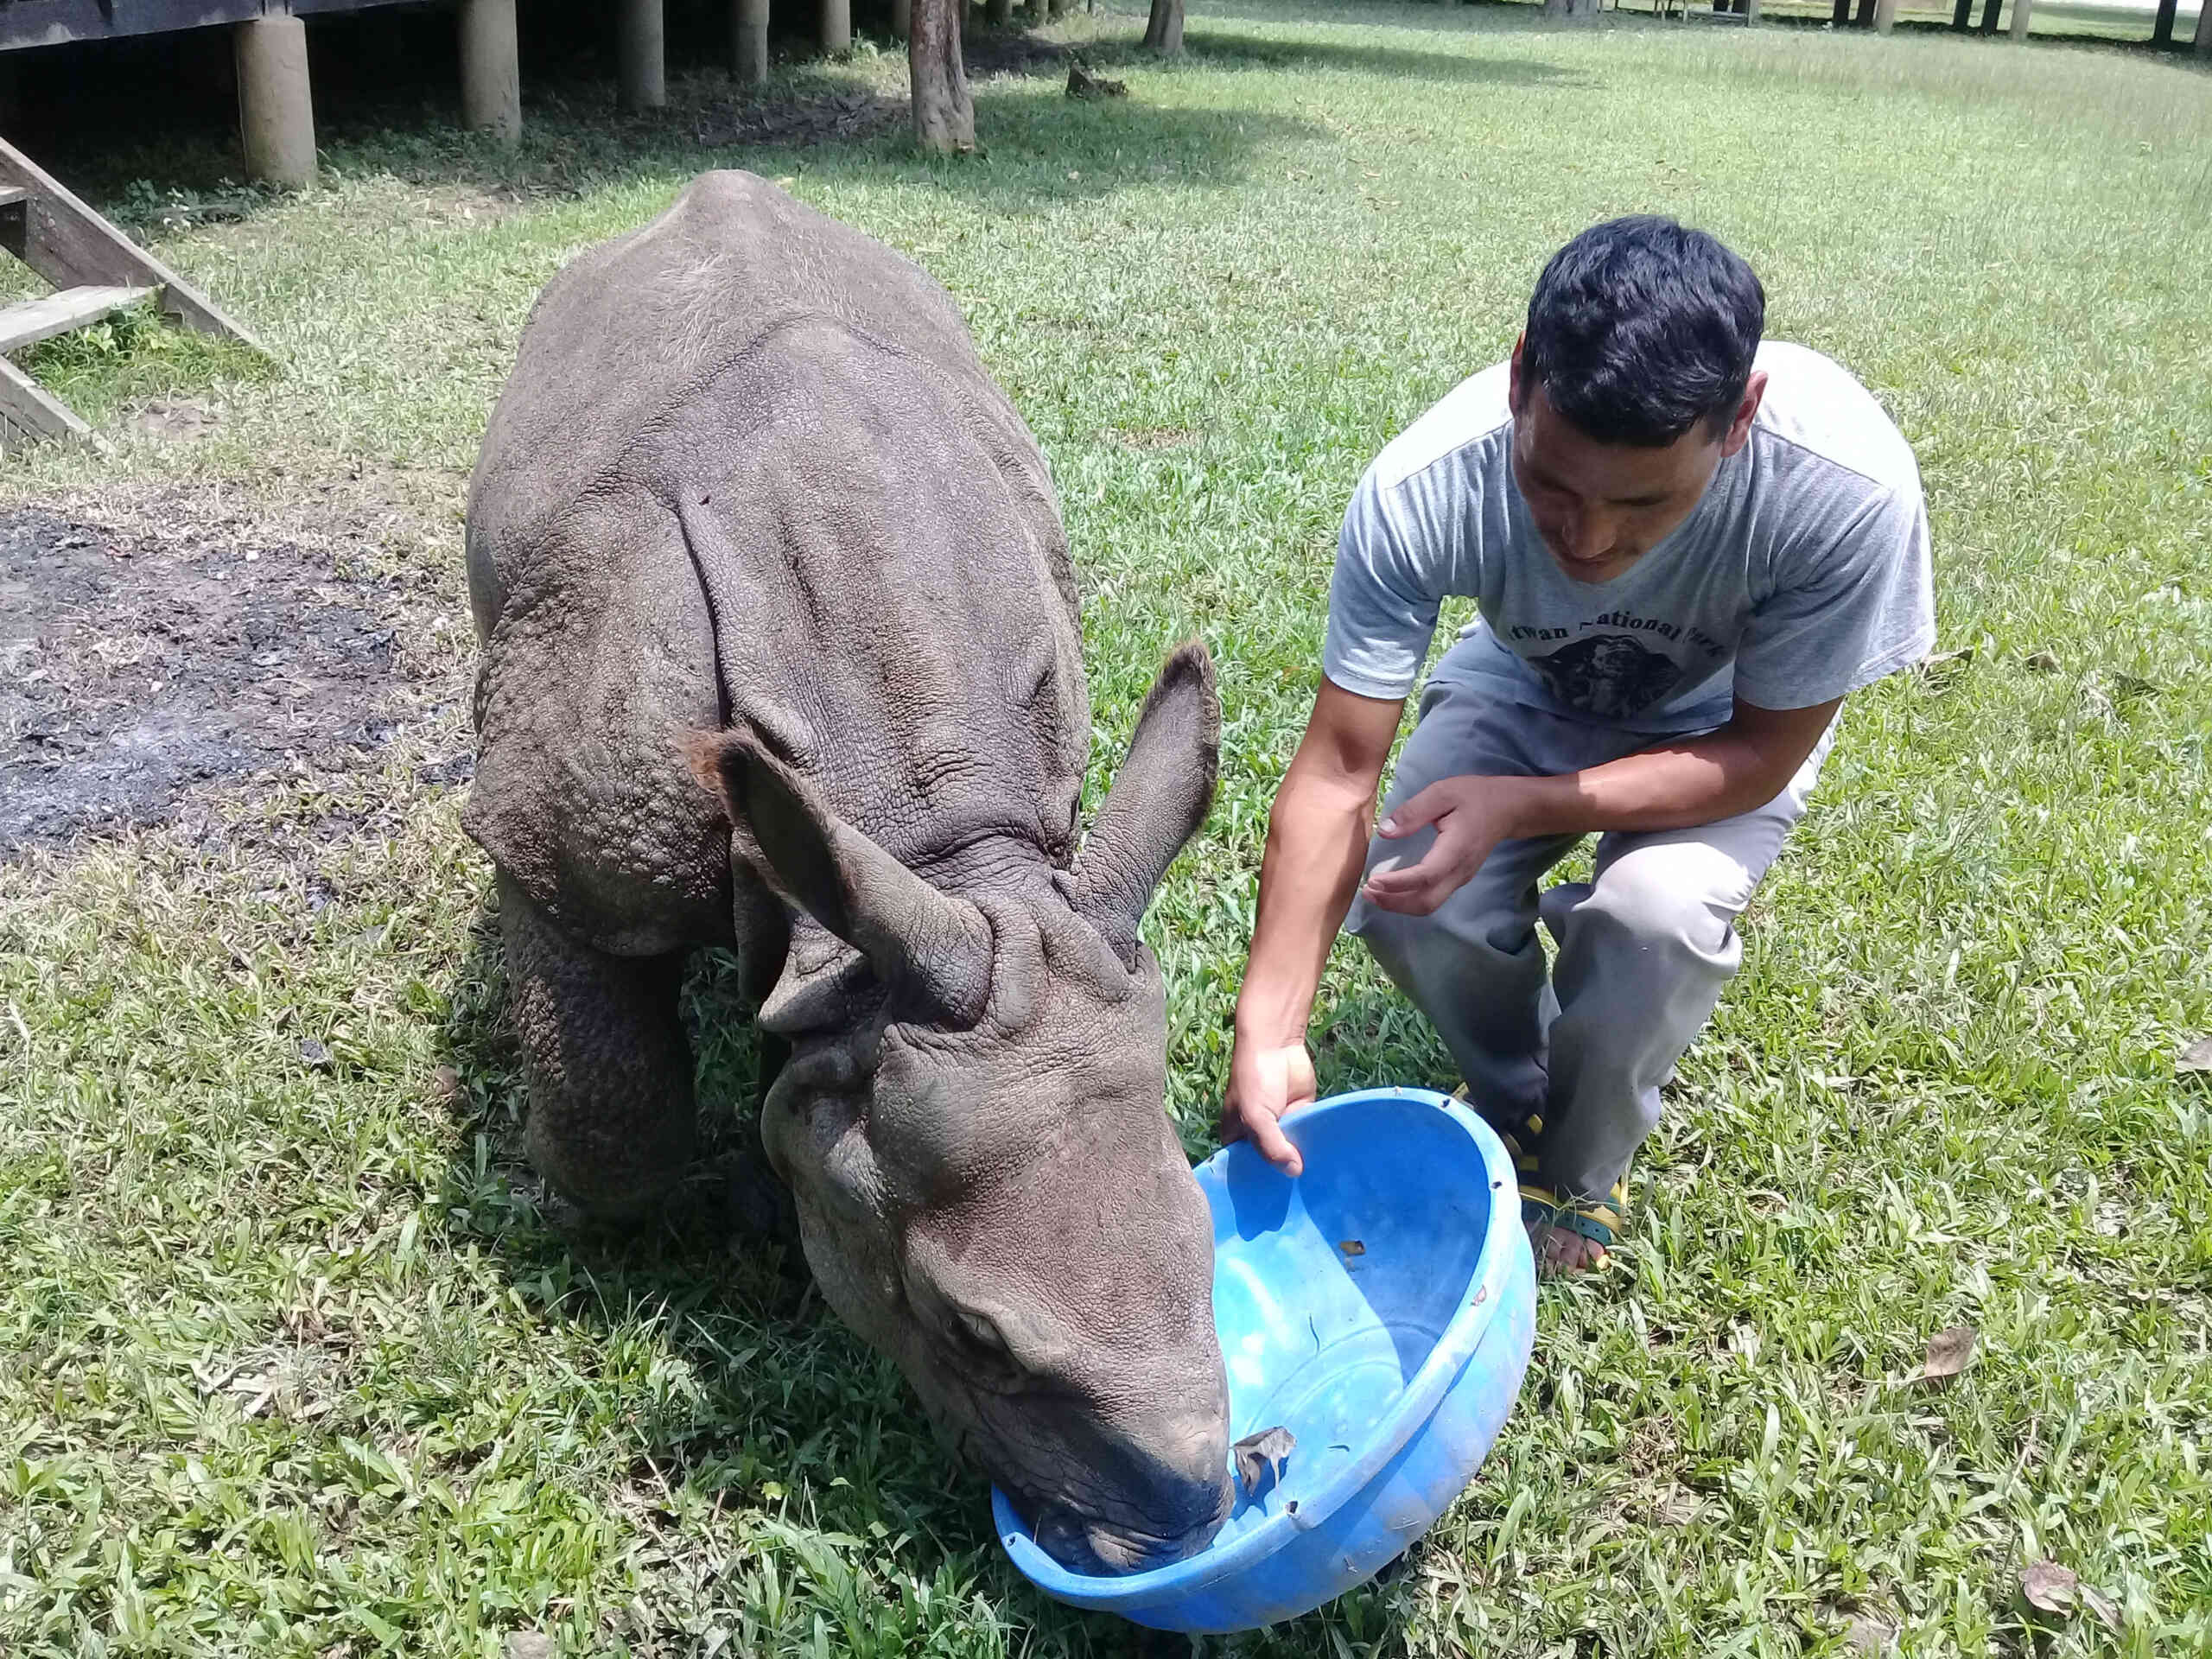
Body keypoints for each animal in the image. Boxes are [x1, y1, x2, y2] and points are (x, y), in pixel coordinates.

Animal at [464, 175, 1238, 1574]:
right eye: (970, 1333)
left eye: (1213, 1243)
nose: (1181, 1521)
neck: (930, 830)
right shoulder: (567, 849)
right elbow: (615, 1116)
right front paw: (694, 1209)